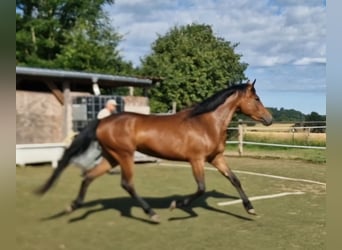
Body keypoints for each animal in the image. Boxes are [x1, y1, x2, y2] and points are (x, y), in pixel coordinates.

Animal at [36, 79, 272, 222]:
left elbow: (235, 180)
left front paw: (250, 208)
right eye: (257, 98)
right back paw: (151, 213)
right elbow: (201, 188)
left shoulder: (216, 158)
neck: (205, 123)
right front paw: (176, 205)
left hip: (112, 157)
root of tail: (102, 121)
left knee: (89, 176)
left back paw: (73, 207)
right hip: (124, 155)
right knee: (127, 183)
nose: (269, 119)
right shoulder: (196, 159)